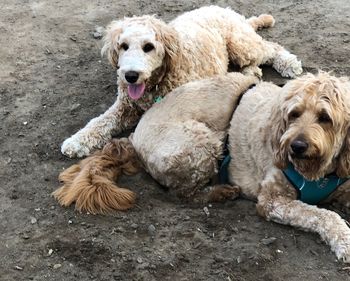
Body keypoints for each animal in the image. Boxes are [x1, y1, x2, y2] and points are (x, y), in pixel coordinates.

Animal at [60, 4, 300, 158]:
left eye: (149, 47)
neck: (156, 84)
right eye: (123, 46)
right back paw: (252, 71)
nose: (130, 76)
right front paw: (78, 140)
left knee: (270, 48)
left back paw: (288, 63)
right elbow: (100, 121)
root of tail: (225, 9)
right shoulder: (124, 105)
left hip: (241, 45)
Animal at [228, 71, 350, 260]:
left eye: (325, 117)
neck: (317, 173)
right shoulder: (272, 199)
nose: (297, 146)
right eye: (294, 114)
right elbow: (321, 214)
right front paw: (344, 239)